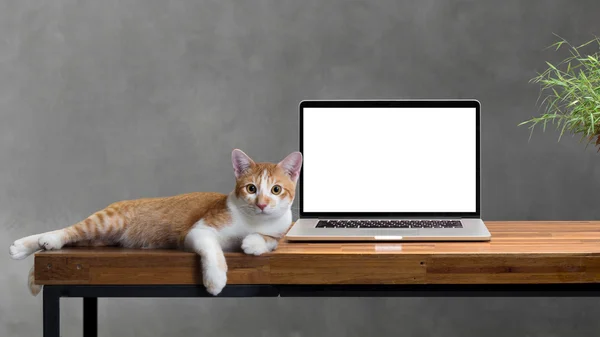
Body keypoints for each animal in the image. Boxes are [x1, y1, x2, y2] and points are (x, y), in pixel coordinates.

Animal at [7, 148, 302, 296]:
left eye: (276, 190)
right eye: (251, 188)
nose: (262, 203)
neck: (252, 221)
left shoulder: (281, 229)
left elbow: (270, 240)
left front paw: (254, 243)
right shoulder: (198, 231)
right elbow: (214, 251)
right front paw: (215, 280)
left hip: (99, 238)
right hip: (106, 222)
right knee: (69, 230)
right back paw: (32, 243)